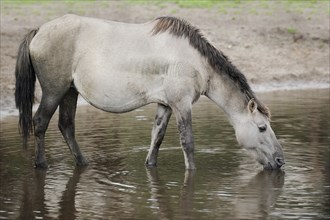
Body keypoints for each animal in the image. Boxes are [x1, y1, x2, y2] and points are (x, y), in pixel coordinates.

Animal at [14, 15, 284, 170]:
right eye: (262, 127)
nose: (281, 161)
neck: (193, 61)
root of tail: (39, 31)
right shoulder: (182, 104)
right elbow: (188, 143)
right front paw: (192, 172)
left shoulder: (165, 104)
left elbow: (158, 136)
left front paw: (150, 165)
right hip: (54, 91)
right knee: (40, 122)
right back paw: (41, 164)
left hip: (70, 92)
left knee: (66, 125)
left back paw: (83, 163)